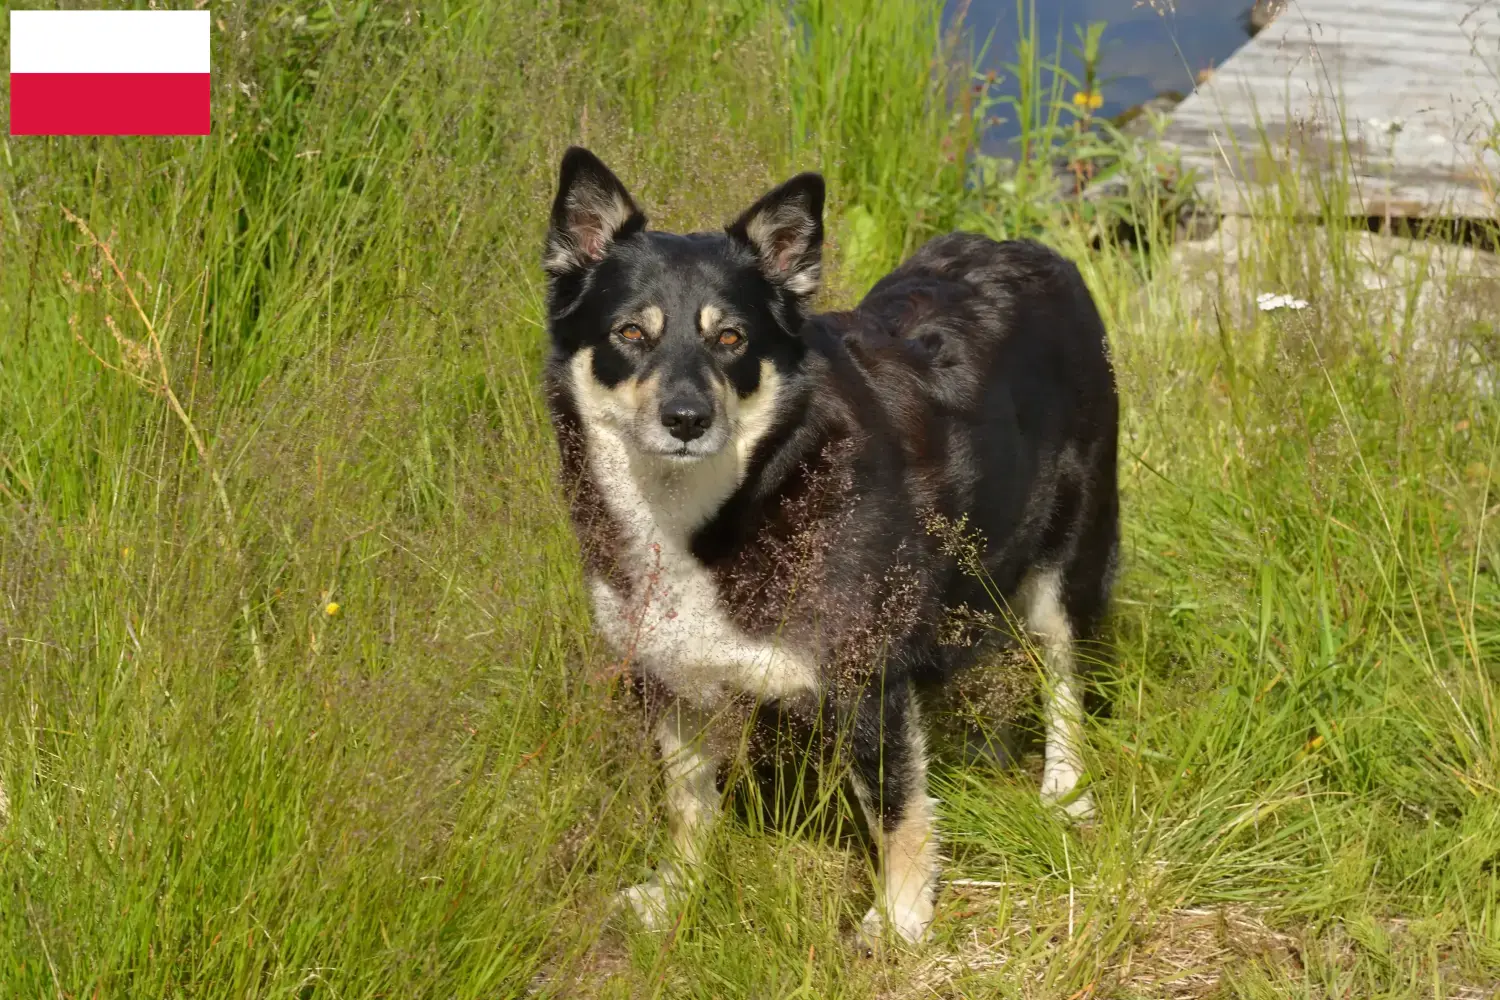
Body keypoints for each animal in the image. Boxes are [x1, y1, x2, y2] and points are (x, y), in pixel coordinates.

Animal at [540, 146, 1116, 947]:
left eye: (731, 338)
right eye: (631, 333)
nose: (686, 419)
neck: (735, 499)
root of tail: (1033, 249)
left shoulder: (865, 678)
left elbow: (897, 811)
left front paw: (900, 921)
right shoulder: (668, 673)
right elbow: (688, 802)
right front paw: (675, 891)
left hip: (1067, 563)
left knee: (1065, 679)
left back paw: (1065, 788)